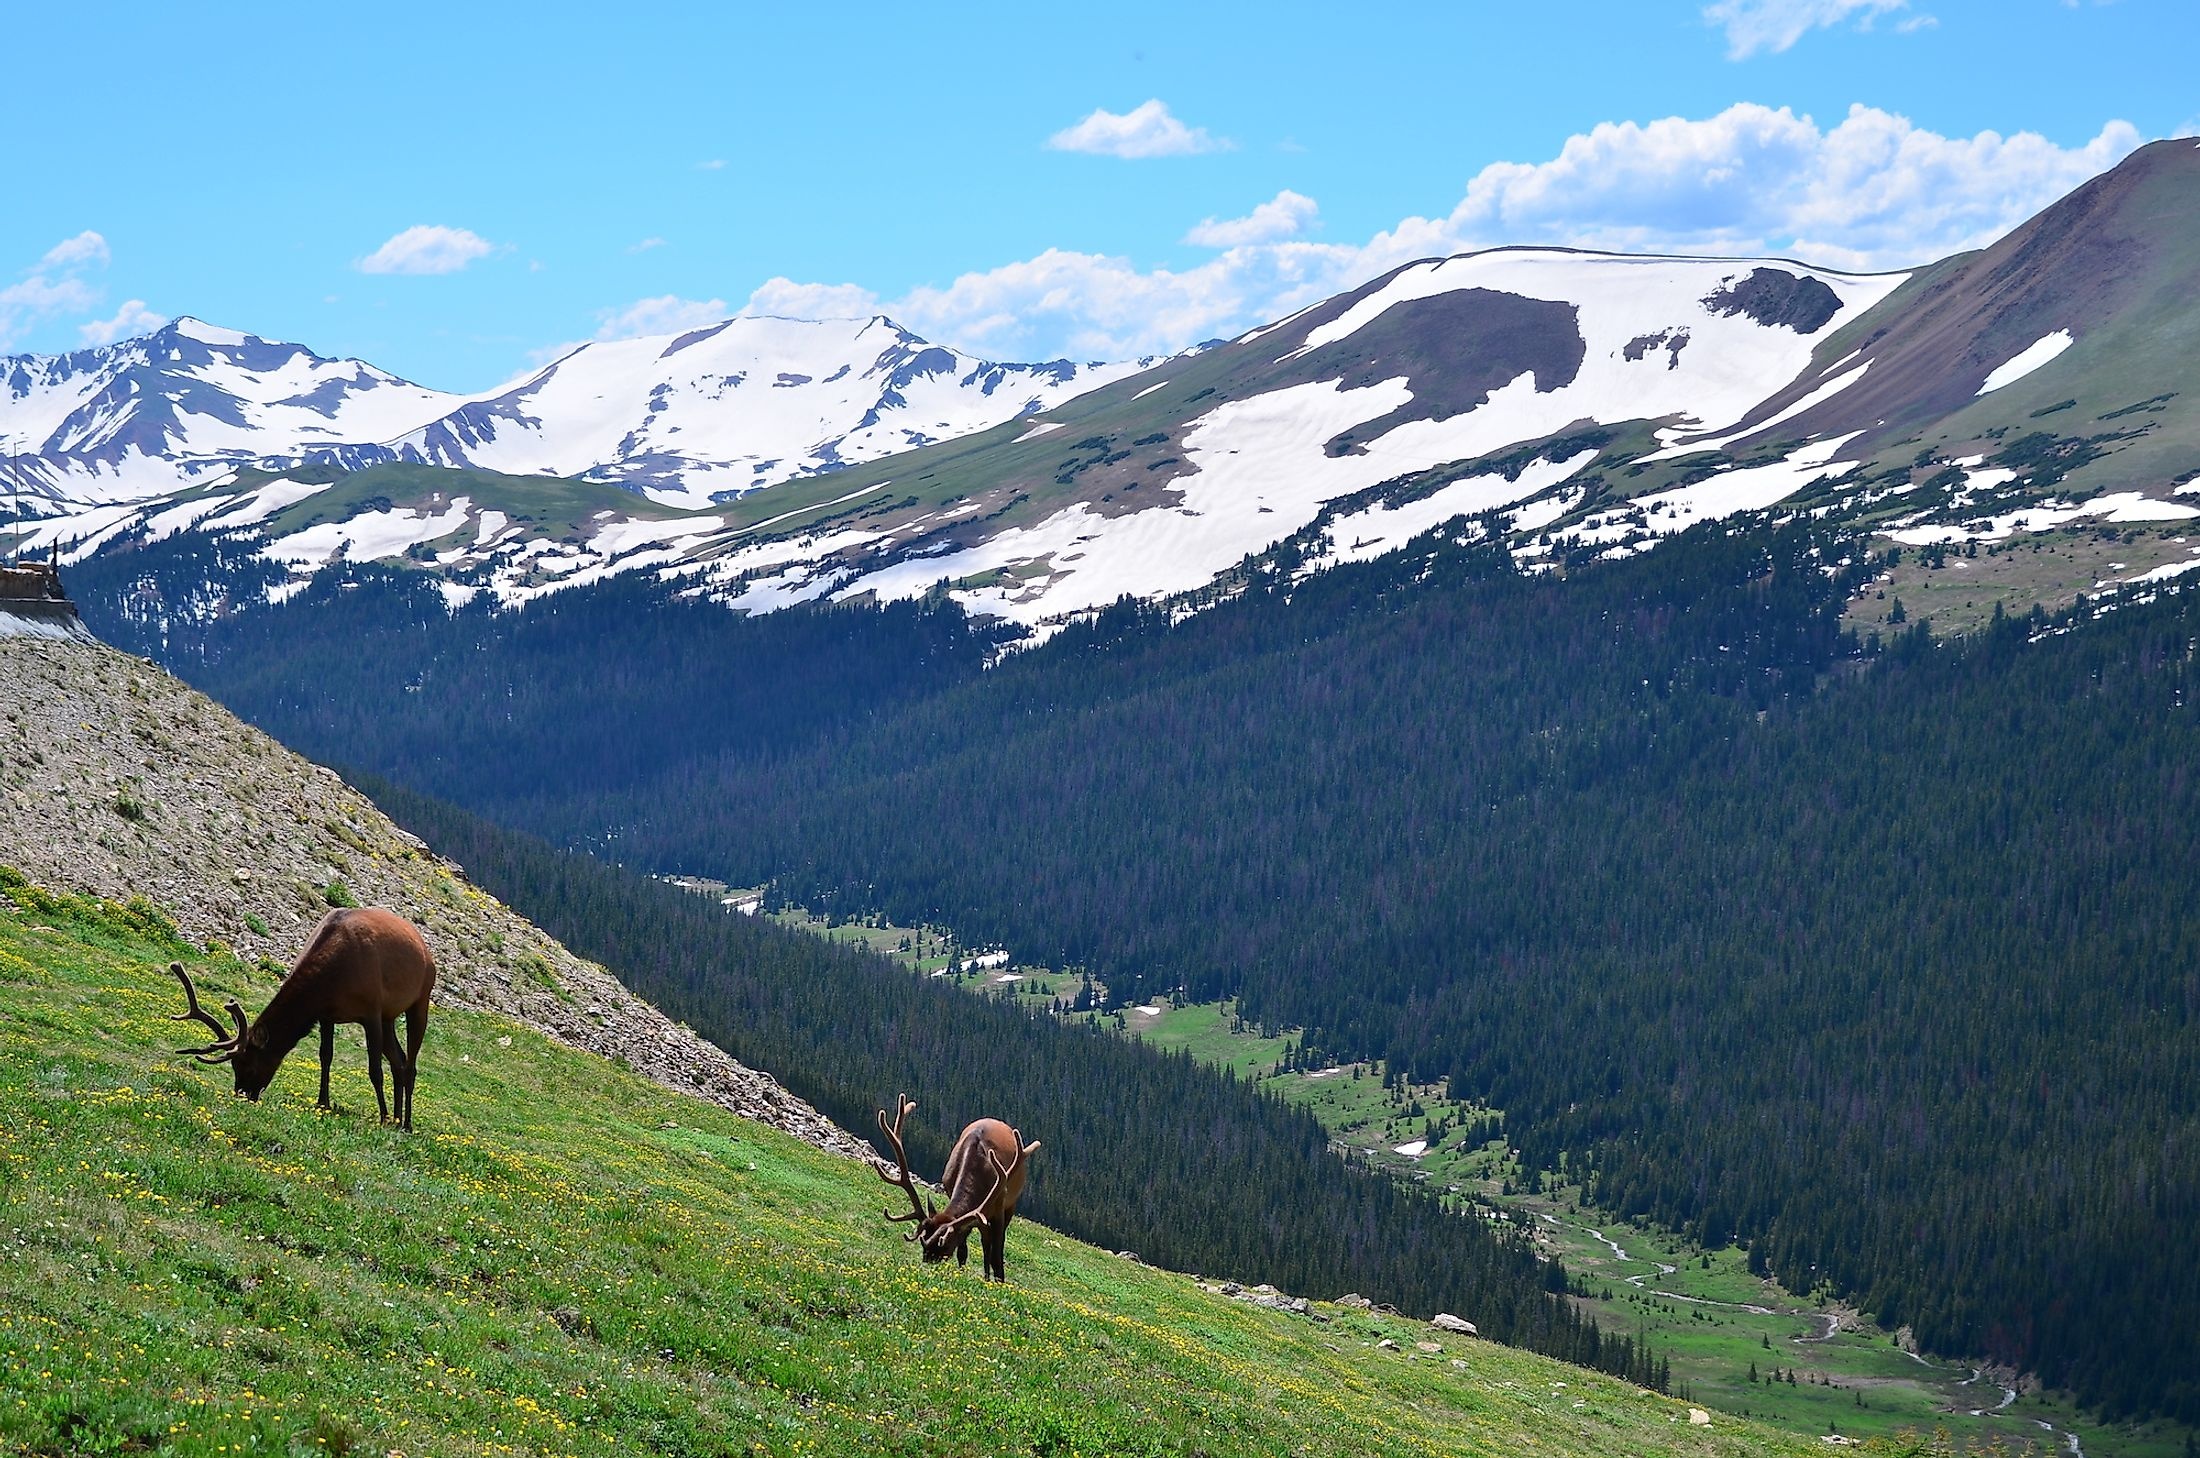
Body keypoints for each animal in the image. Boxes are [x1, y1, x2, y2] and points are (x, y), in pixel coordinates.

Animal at [167, 906, 433, 1134]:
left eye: (250, 1065)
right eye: (234, 1066)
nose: (242, 1094)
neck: (333, 978)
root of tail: (423, 944)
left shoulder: (371, 1011)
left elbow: (374, 1070)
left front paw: (383, 1117)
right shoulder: (328, 1015)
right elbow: (326, 1056)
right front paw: (323, 1102)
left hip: (420, 1000)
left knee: (410, 1064)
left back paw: (405, 1123)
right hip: (390, 1016)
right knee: (399, 1060)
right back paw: (398, 1118)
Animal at [875, 1090, 1038, 1284]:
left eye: (944, 1247)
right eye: (924, 1244)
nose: (928, 1262)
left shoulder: (999, 1202)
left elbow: (997, 1255)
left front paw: (1000, 1282)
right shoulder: (954, 1193)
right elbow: (963, 1251)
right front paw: (961, 1272)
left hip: (1010, 1203)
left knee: (991, 1246)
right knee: (985, 1242)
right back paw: (985, 1277)